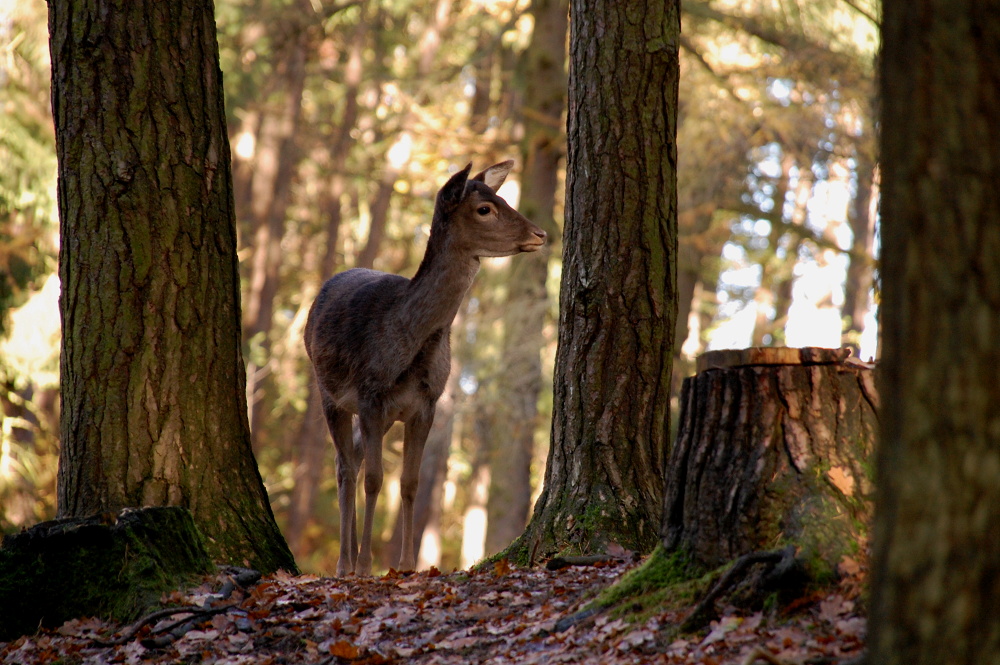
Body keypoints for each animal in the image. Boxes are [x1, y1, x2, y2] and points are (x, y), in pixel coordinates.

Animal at [304, 161, 548, 576]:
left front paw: (405, 565)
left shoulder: (426, 404)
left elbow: (409, 481)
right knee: (344, 468)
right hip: (328, 393)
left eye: (500, 197)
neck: (410, 345)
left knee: (353, 457)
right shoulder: (371, 395)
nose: (540, 233)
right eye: (485, 208)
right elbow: (375, 479)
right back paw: (345, 563)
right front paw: (367, 565)